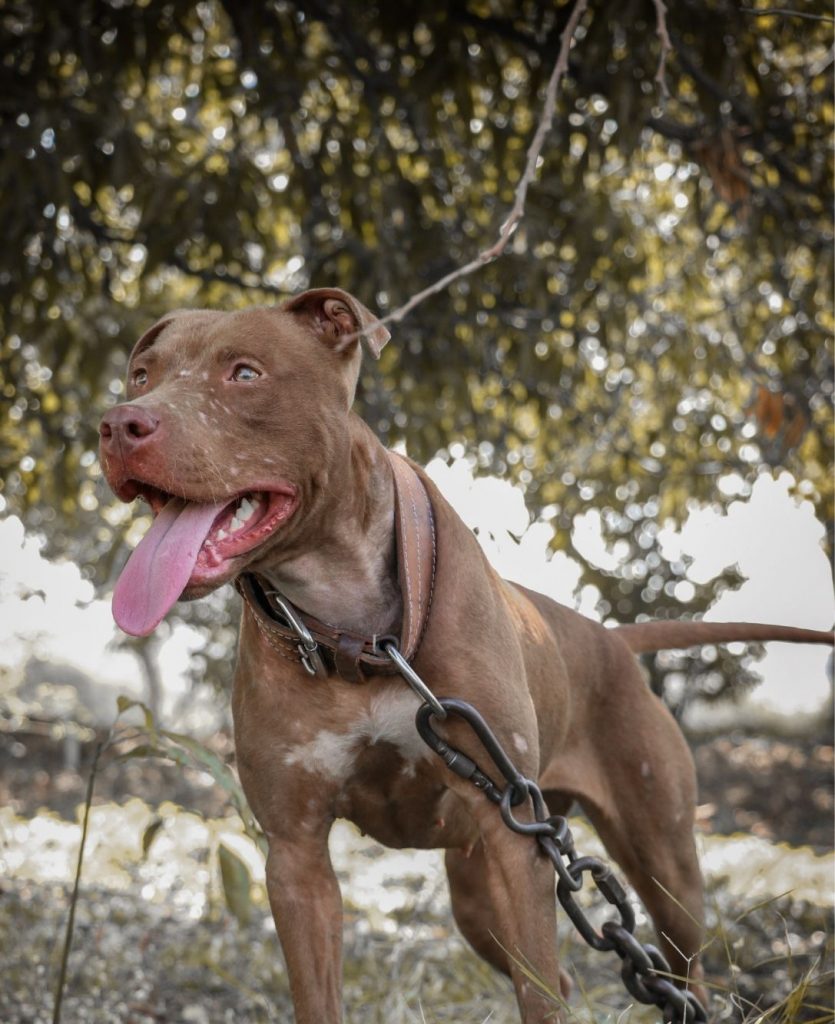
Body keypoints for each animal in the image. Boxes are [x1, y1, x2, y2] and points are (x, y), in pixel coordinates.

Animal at [101, 290, 831, 1024]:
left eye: (244, 374)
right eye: (141, 374)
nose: (117, 424)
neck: (359, 636)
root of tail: (611, 639)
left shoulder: (518, 847)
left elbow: (541, 1000)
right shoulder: (296, 855)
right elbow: (321, 994)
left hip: (657, 860)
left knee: (676, 971)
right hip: (479, 891)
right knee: (561, 978)